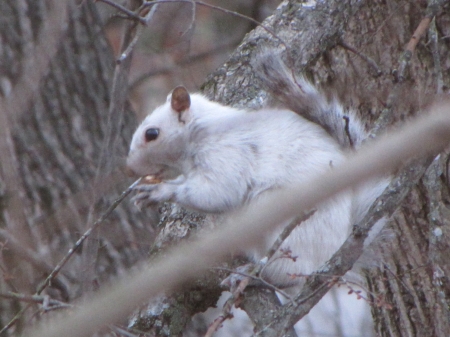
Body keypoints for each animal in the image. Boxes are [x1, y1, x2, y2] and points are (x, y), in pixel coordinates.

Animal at [125, 55, 384, 288]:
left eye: (151, 134)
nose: (130, 168)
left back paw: (251, 276)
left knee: (287, 275)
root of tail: (336, 248)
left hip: (283, 223)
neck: (202, 130)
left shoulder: (227, 155)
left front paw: (160, 191)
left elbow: (217, 192)